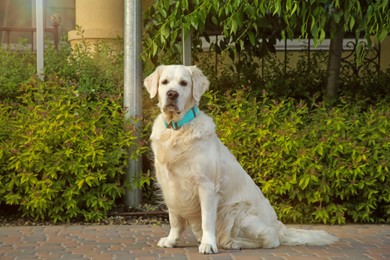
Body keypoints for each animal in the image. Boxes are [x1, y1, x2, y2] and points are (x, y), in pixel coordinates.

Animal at [144, 65, 338, 254]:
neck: (176, 129)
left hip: (236, 211)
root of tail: (279, 226)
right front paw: (171, 240)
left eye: (184, 83)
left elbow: (207, 220)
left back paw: (233, 243)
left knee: (269, 240)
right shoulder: (170, 186)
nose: (172, 94)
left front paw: (208, 244)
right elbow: (174, 219)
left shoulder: (206, 186)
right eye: (164, 82)